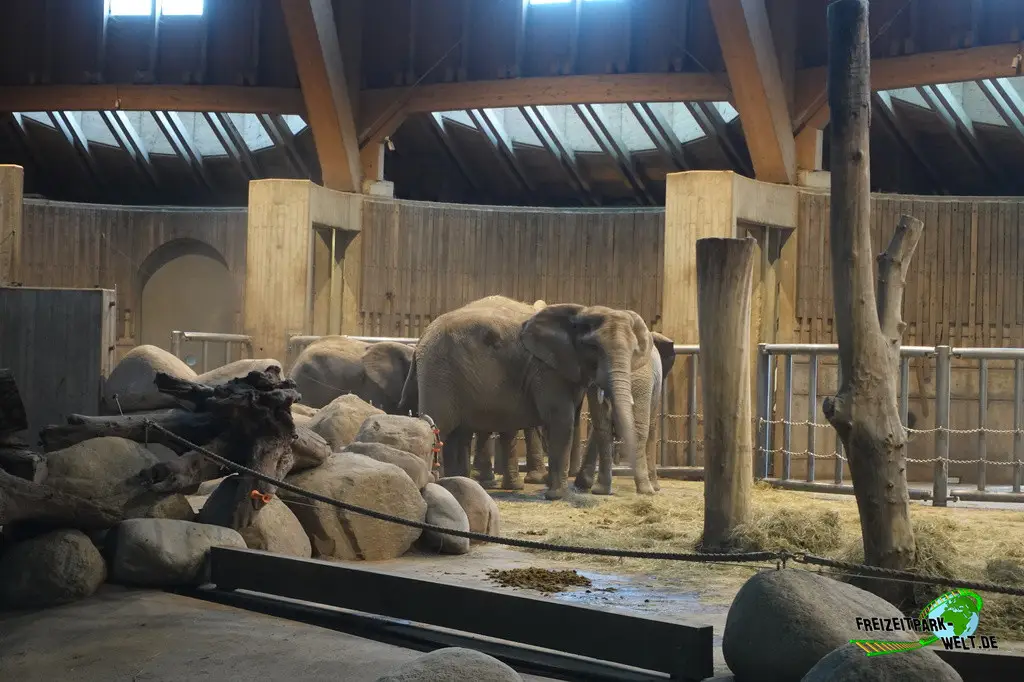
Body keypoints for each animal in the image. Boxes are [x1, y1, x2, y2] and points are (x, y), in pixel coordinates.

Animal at [399, 302, 656, 499]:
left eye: (634, 350)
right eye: (593, 347)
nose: (647, 494)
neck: (581, 311)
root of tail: (421, 338)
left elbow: (566, 420)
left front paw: (553, 490)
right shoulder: (546, 370)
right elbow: (561, 418)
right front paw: (557, 495)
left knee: (456, 435)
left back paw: (458, 482)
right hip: (438, 372)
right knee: (439, 426)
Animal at [574, 331, 676, 495]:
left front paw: (583, 483)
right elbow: (652, 428)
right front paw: (656, 488)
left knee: (603, 428)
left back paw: (600, 490)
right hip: (641, 380)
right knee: (639, 429)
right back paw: (646, 490)